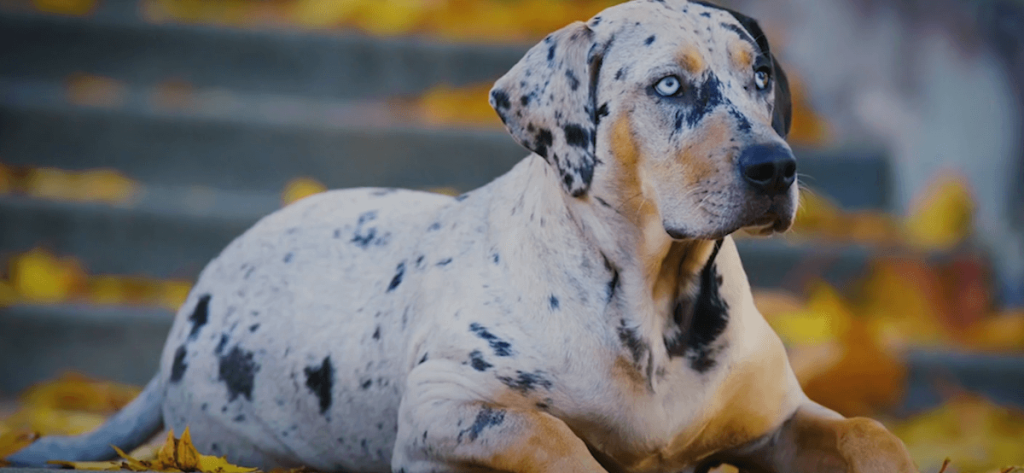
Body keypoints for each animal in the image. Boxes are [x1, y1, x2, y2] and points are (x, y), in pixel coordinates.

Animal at [6, 0, 921, 473]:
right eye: (669, 85)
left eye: (759, 75)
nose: (777, 166)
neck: (656, 304)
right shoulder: (449, 403)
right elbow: (553, 437)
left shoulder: (777, 417)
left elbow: (871, 434)